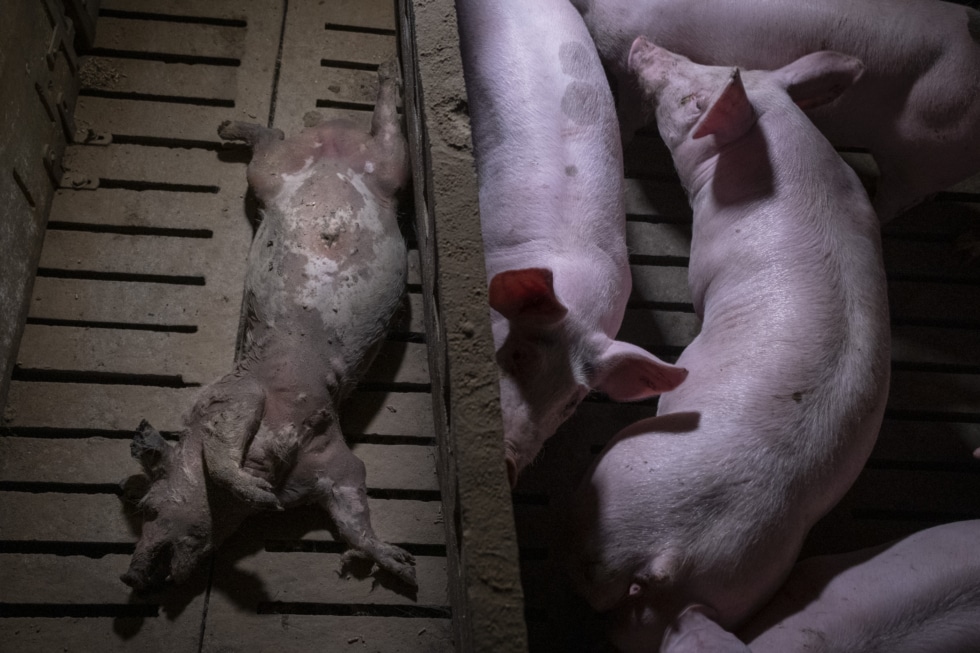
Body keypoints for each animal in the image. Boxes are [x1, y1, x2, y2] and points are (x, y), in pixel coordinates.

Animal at [568, 42, 896, 652]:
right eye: (715, 65)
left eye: (693, 101)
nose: (642, 44)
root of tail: (671, 552)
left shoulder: (705, 259)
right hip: (741, 581)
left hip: (617, 472)